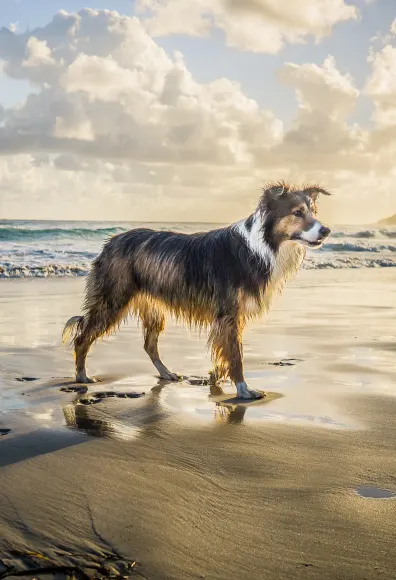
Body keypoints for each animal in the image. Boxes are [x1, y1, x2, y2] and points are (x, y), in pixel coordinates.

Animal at [63, 181, 332, 398]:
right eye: (297, 213)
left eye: (313, 212)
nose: (326, 230)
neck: (262, 246)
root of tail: (111, 242)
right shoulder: (228, 314)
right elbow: (236, 355)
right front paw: (243, 389)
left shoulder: (230, 318)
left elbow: (225, 351)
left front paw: (216, 378)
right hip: (112, 299)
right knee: (83, 337)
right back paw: (82, 376)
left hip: (153, 307)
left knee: (149, 345)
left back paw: (166, 374)